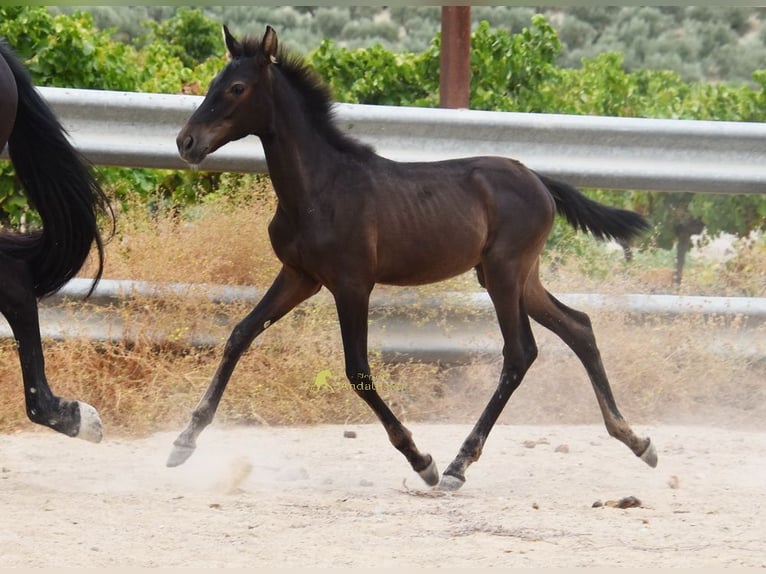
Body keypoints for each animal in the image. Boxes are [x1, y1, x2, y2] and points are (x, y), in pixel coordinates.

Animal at [170, 25, 658, 490]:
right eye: (212, 82)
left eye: (237, 88)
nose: (186, 141)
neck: (319, 188)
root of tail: (538, 178)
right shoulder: (299, 276)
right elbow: (239, 335)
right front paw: (183, 442)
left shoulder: (351, 284)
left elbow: (358, 371)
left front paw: (421, 460)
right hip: (520, 277)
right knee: (579, 327)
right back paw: (636, 440)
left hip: (505, 272)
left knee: (520, 353)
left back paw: (458, 465)